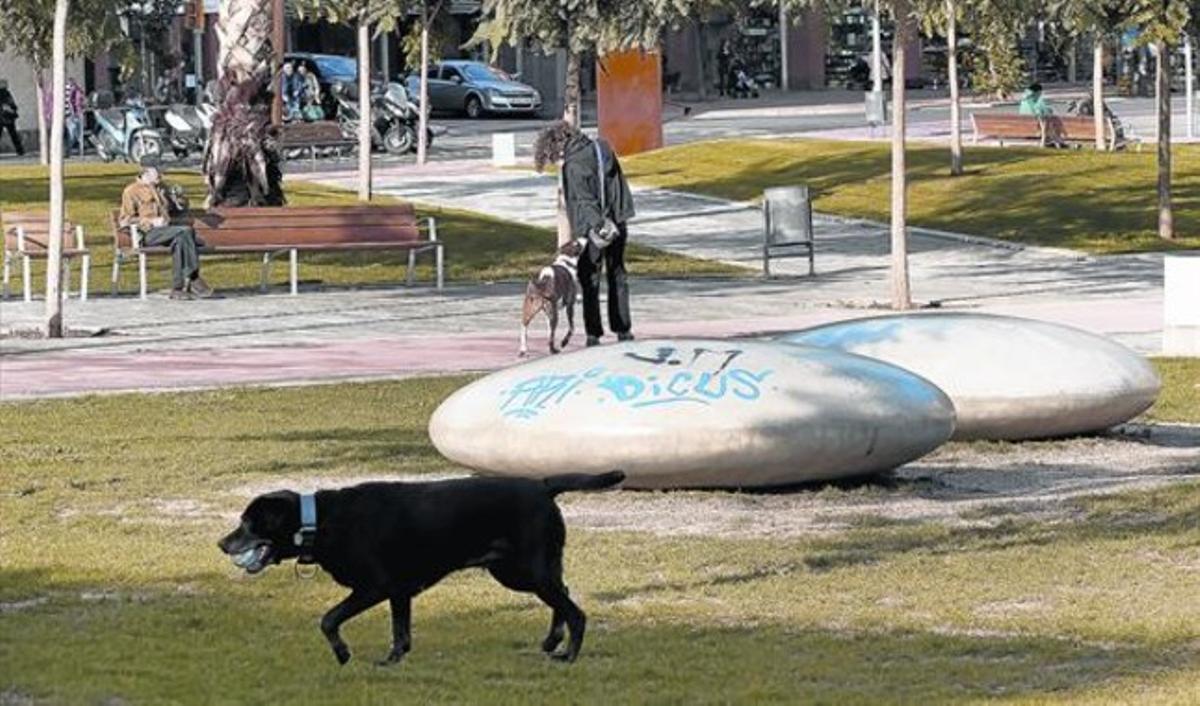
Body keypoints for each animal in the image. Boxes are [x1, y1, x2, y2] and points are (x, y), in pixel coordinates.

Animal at [219, 470, 624, 662]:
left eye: (249, 523)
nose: (222, 543)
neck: (318, 521)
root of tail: (543, 485)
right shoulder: (399, 591)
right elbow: (401, 633)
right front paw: (392, 661)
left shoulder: (375, 587)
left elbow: (328, 619)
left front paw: (343, 653)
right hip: (520, 571)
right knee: (564, 595)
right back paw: (553, 642)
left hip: (527, 570)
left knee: (575, 610)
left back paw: (568, 656)